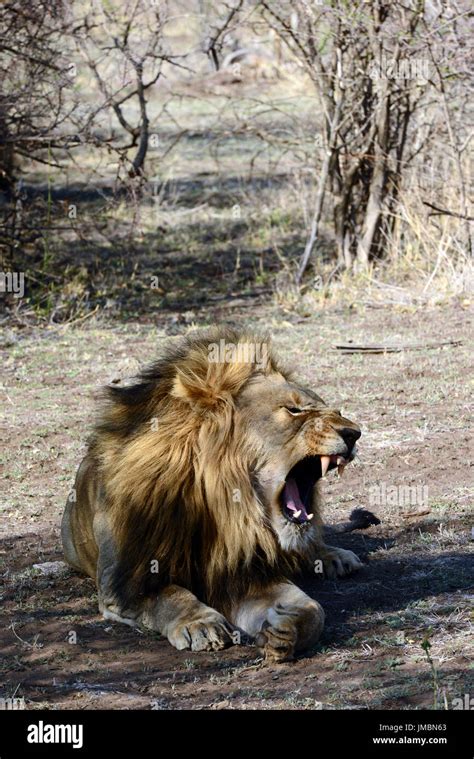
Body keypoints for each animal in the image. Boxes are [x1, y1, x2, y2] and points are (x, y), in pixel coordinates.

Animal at [61, 330, 362, 664]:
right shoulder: (124, 583)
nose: (354, 433)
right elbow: (170, 596)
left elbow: (313, 610)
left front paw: (283, 629)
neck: (219, 506)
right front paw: (200, 624)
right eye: (294, 410)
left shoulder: (242, 572)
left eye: (335, 410)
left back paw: (335, 557)